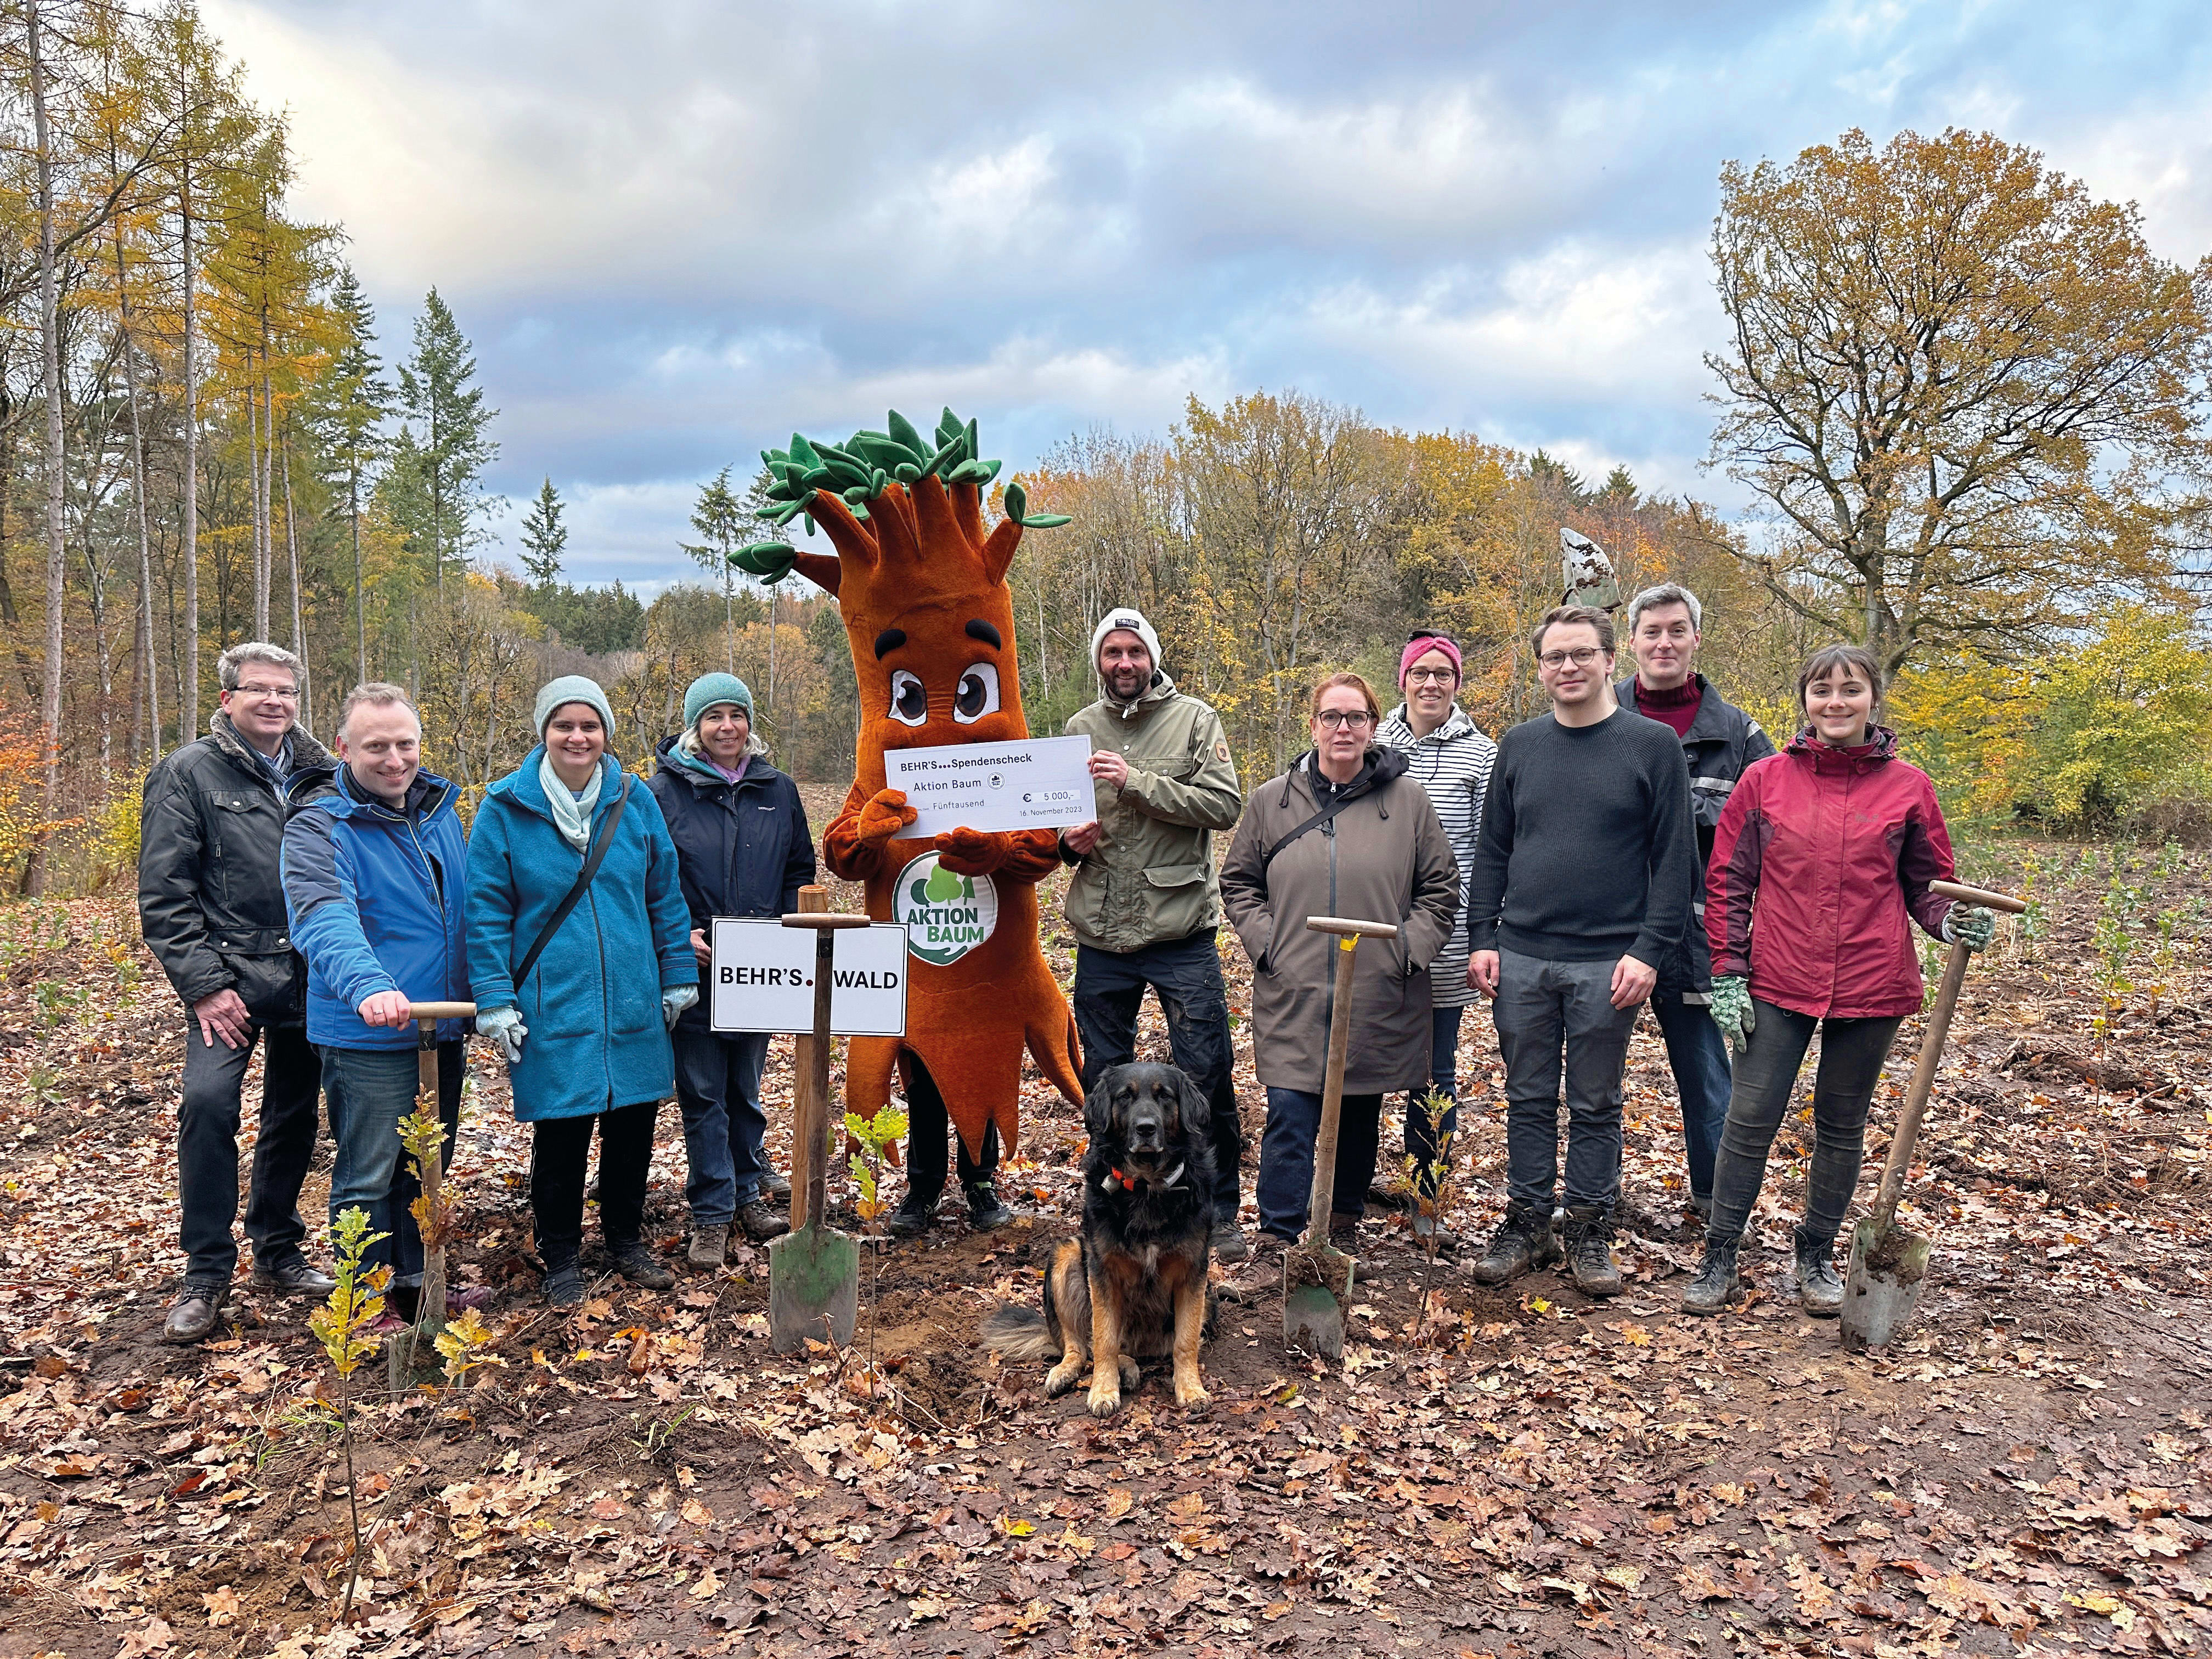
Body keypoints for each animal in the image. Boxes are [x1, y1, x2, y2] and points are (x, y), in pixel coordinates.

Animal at [981, 1062, 1218, 1417]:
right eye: (1124, 1097)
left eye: (1165, 1096)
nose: (1146, 1129)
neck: (1146, 1185)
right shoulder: (1102, 1270)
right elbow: (1104, 1339)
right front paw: (1103, 1391)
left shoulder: (1193, 1271)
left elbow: (1186, 1341)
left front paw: (1190, 1389)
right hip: (1067, 1254)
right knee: (1082, 1346)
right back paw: (1074, 1371)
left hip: (1208, 1300)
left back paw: (1130, 1367)